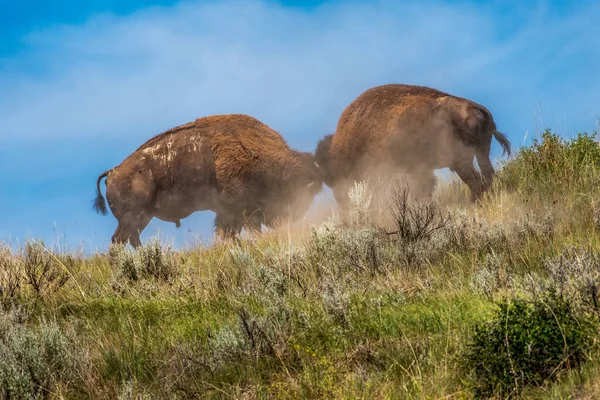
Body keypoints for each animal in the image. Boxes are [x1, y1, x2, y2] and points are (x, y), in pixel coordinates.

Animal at [92, 112, 324, 248]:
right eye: (295, 187)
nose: (291, 215)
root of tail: (113, 172)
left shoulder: (230, 212)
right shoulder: (242, 210)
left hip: (137, 219)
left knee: (127, 240)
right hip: (135, 218)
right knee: (122, 240)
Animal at [314, 82, 510, 205]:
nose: (341, 201)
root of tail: (478, 109)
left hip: (461, 161)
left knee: (476, 182)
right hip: (480, 153)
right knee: (486, 177)